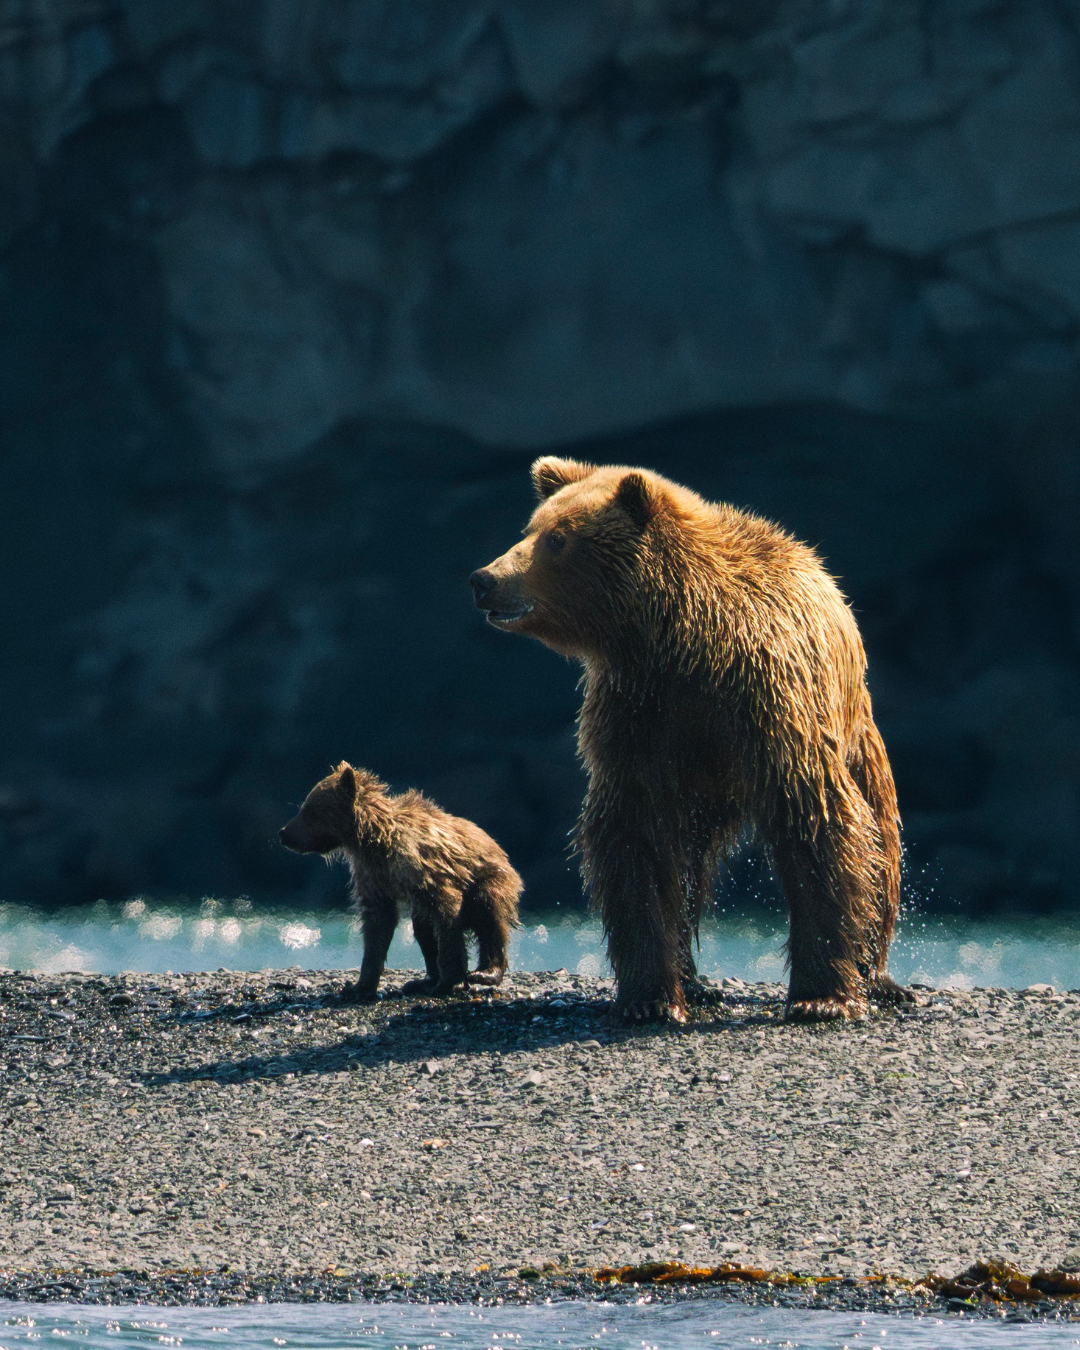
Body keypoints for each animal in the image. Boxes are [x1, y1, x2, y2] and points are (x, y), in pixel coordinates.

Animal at [279, 763, 521, 999]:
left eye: (309, 810)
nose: (283, 833)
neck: (375, 840)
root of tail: (501, 850)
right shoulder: (372, 876)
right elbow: (378, 924)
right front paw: (359, 985)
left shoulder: (424, 868)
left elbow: (446, 916)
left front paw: (449, 981)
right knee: (423, 927)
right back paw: (423, 981)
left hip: (491, 879)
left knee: (488, 915)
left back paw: (486, 973)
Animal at [470, 458, 909, 1024]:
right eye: (531, 528)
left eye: (558, 539)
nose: (484, 579)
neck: (683, 641)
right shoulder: (641, 719)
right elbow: (637, 844)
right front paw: (651, 996)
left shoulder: (766, 705)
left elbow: (815, 825)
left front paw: (821, 996)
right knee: (688, 867)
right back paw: (694, 980)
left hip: (857, 738)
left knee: (883, 842)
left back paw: (877, 974)